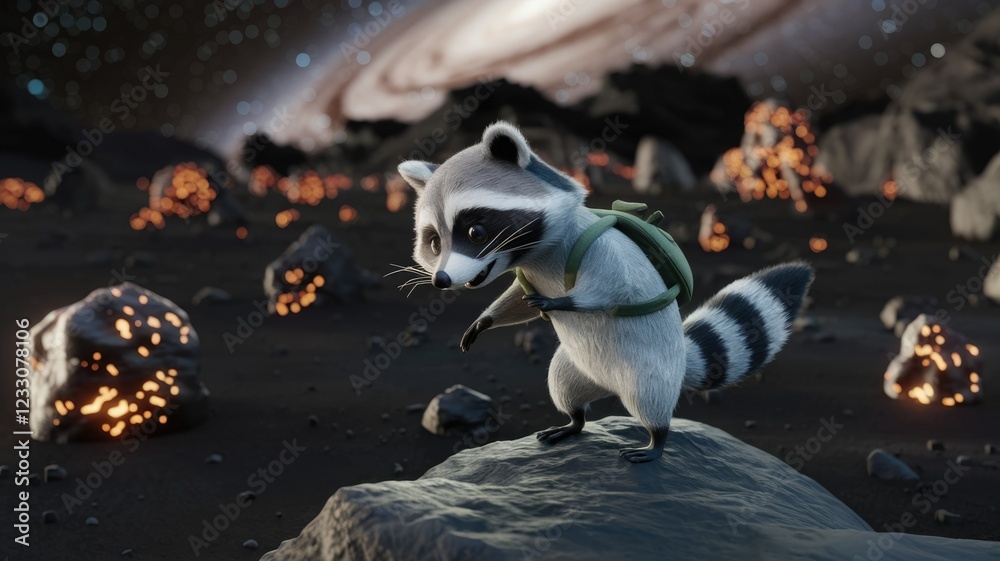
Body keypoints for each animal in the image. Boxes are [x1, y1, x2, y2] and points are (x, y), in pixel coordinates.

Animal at [398, 121, 814, 463]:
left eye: (476, 232)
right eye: (434, 242)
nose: (441, 281)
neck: (536, 254)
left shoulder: (598, 244)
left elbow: (615, 286)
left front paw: (565, 301)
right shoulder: (527, 273)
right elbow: (517, 299)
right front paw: (485, 319)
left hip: (650, 368)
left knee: (650, 399)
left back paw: (657, 439)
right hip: (575, 368)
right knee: (563, 386)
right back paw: (573, 422)